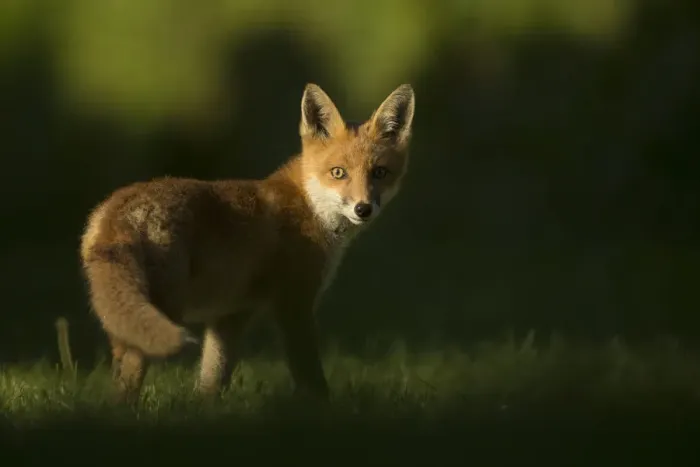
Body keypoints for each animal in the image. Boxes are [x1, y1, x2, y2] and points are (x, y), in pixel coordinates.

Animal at [79, 83, 416, 403]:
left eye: (379, 173)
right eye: (338, 173)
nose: (363, 209)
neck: (308, 204)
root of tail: (113, 210)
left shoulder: (231, 314)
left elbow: (213, 377)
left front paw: (206, 408)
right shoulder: (293, 304)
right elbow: (310, 375)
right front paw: (323, 406)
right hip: (165, 307)